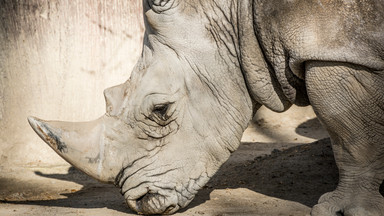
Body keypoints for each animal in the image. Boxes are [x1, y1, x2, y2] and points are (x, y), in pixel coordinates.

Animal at [27, 0, 384, 214]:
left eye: (160, 110)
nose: (141, 203)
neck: (236, 18)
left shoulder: (335, 48)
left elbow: (350, 135)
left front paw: (343, 210)